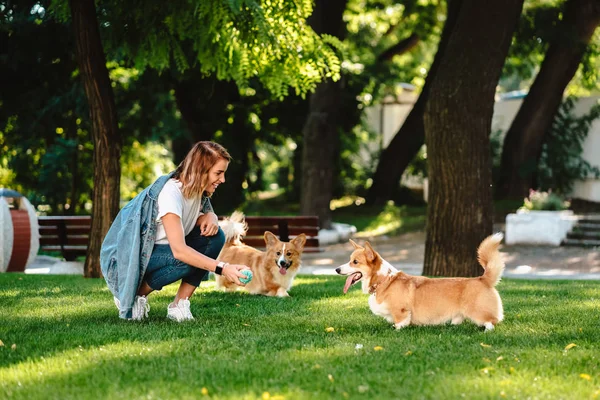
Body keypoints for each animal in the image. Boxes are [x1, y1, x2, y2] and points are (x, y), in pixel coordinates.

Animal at [336, 233, 504, 330]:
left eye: (355, 262)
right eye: (350, 260)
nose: (337, 269)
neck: (384, 280)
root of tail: (483, 279)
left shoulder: (401, 312)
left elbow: (399, 324)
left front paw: (396, 330)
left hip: (477, 312)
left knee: (492, 321)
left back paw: (486, 330)